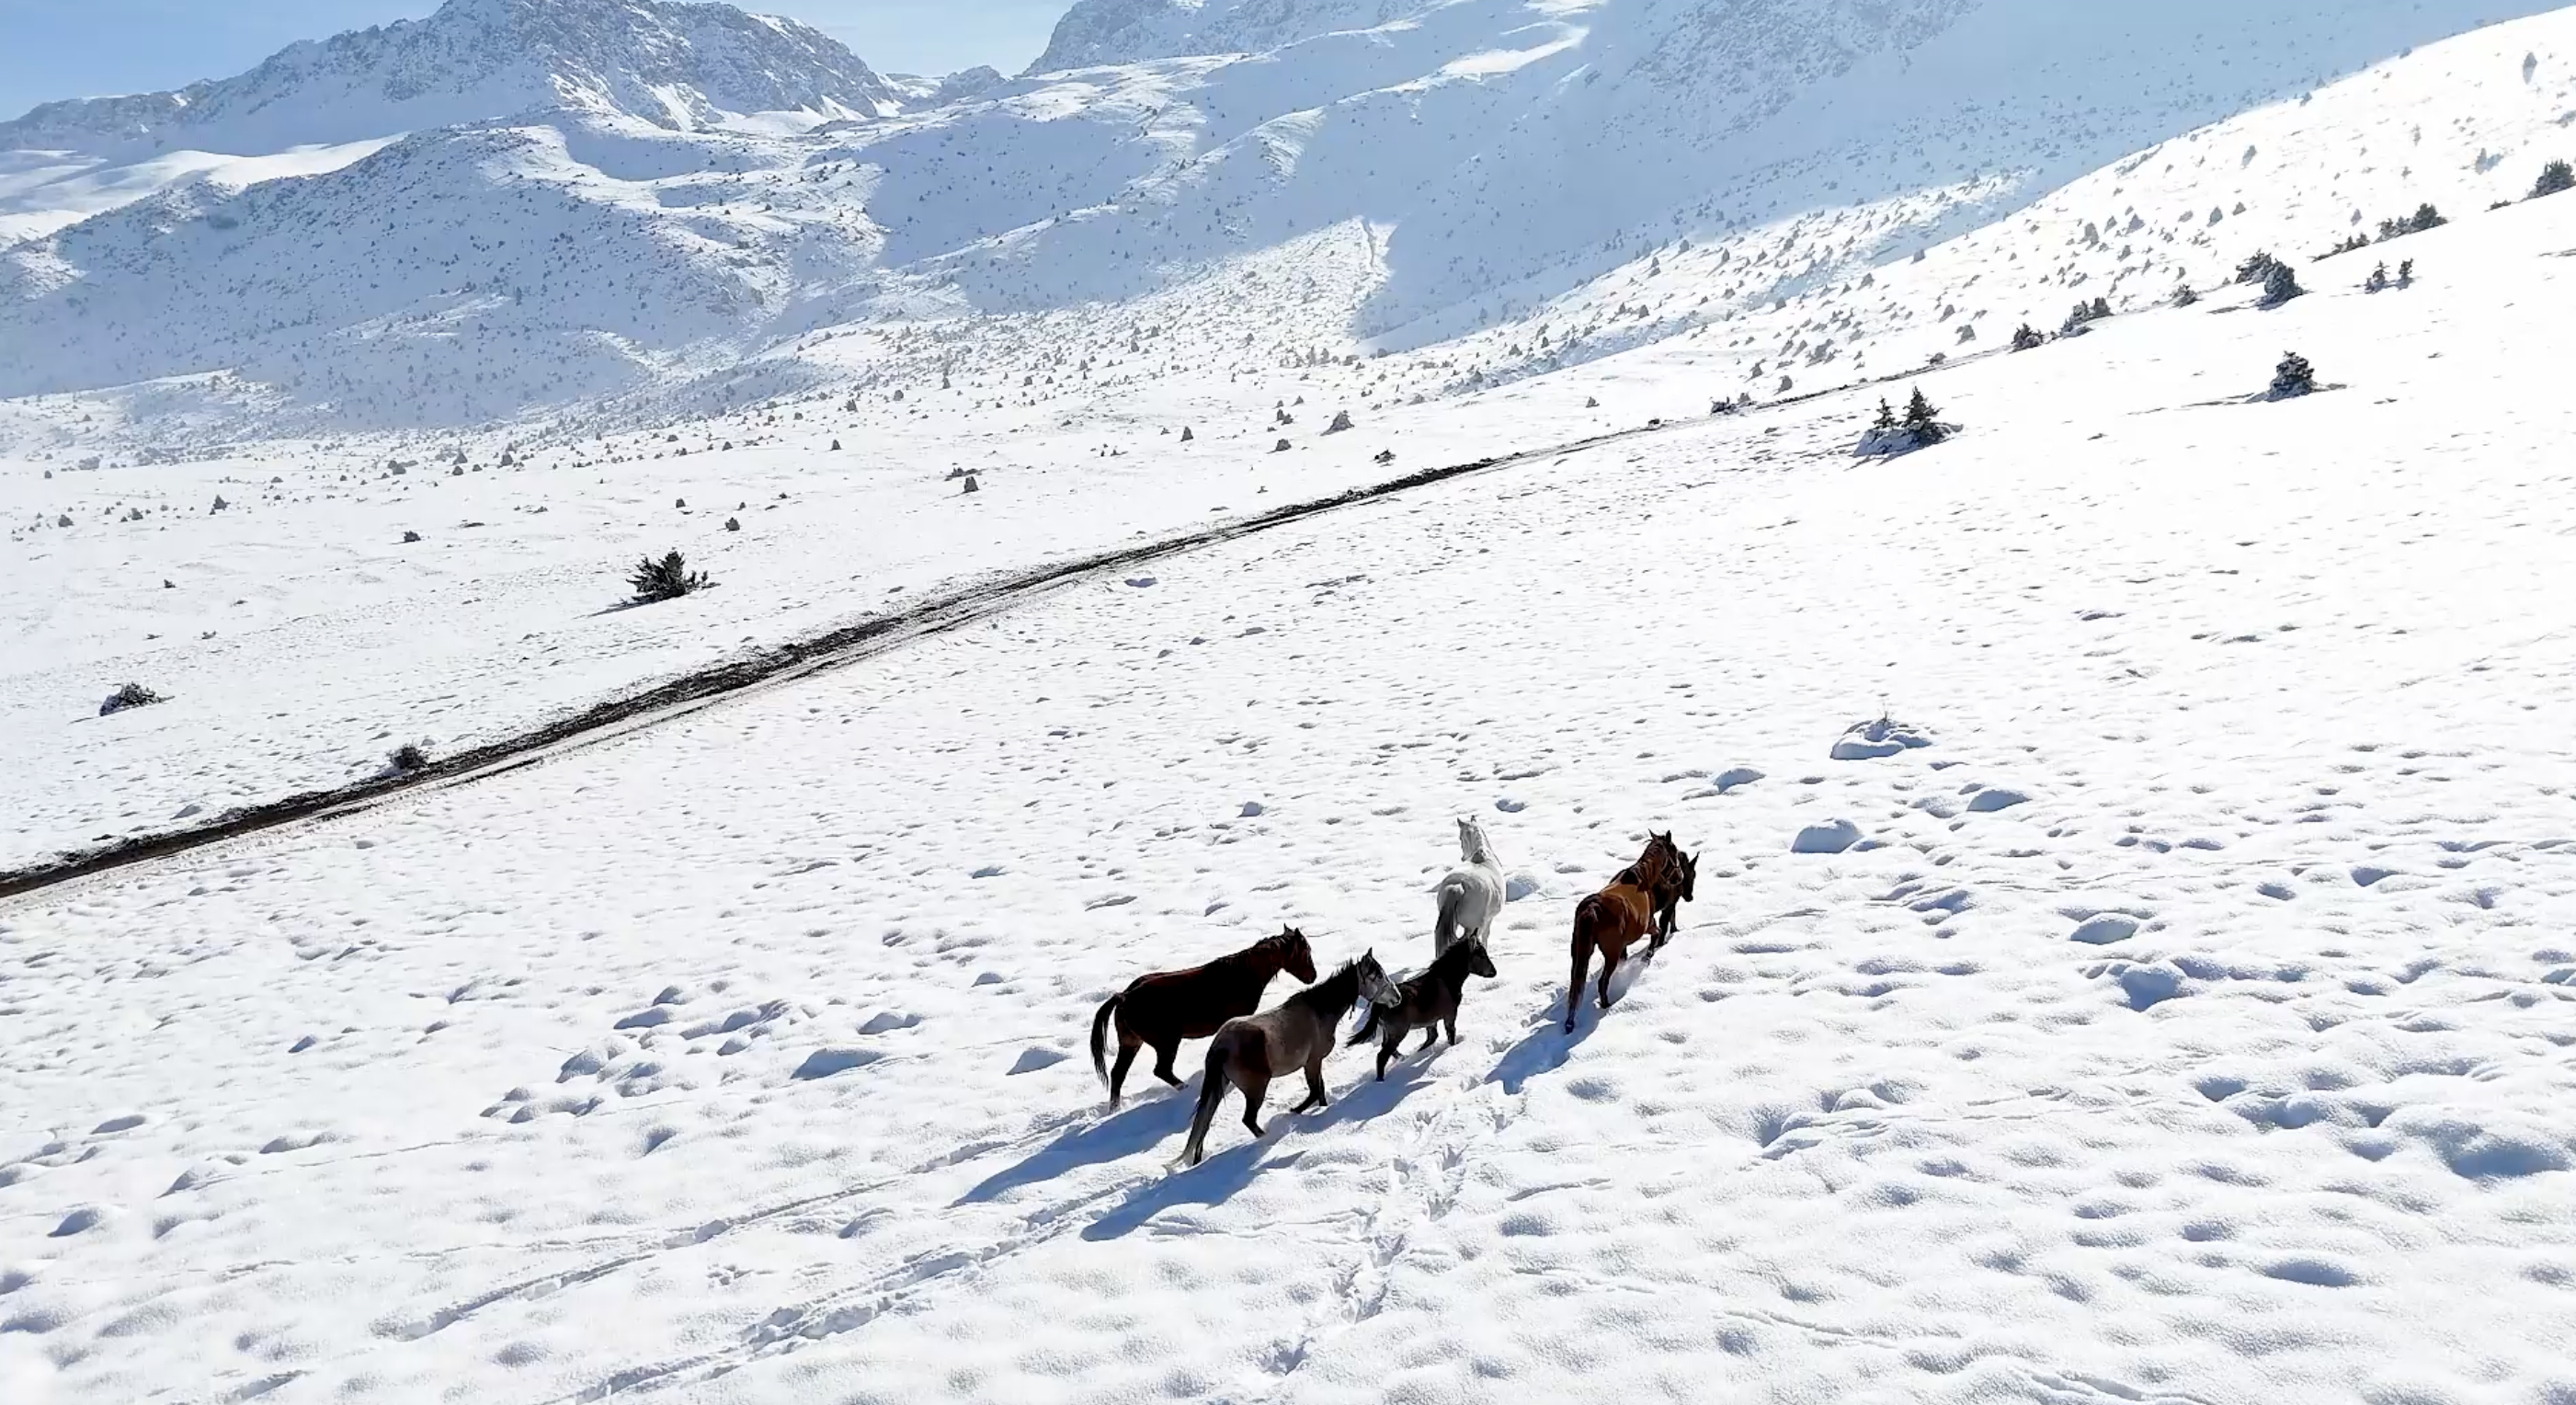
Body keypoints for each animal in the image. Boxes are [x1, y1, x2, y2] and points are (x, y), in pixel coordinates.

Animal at [1092, 928, 1318, 1114]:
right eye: (1305, 952)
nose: (1313, 976)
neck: (1242, 975)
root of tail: (1124, 997)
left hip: (1131, 1042)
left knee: (1118, 1074)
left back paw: (1114, 1109)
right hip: (1166, 1042)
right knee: (1161, 1070)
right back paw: (1185, 1089)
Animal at [1180, 948, 1401, 1165]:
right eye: (1377, 976)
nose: (1397, 997)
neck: (1319, 1011)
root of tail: (1221, 1045)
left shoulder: (1315, 1063)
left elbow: (1319, 1091)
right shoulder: (1312, 1063)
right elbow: (1315, 1092)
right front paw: (1295, 1111)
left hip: (1221, 1085)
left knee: (1205, 1122)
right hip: (1256, 1089)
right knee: (1248, 1120)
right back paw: (1266, 1139)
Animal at [1360, 938, 1504, 1077]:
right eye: (1481, 955)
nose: (1494, 972)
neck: (1448, 977)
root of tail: (1378, 1004)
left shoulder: (1431, 1020)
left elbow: (1431, 1038)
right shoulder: (1450, 1013)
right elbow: (1450, 1033)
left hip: (1387, 1030)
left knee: (1387, 1048)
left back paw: (1403, 1059)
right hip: (1398, 1030)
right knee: (1382, 1056)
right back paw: (1380, 1079)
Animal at [1431, 814, 1504, 958]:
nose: (1462, 858)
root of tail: (1458, 887)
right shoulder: (1488, 921)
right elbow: (1486, 936)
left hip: (1451, 924)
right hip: (1472, 927)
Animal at [1556, 835, 1679, 1031]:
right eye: (1674, 850)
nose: (1679, 877)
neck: (1643, 879)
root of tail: (1592, 910)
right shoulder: (1648, 925)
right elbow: (1657, 933)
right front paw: (1648, 955)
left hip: (1580, 952)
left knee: (1576, 985)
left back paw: (1570, 1022)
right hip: (1610, 953)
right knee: (1602, 982)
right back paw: (1606, 1005)